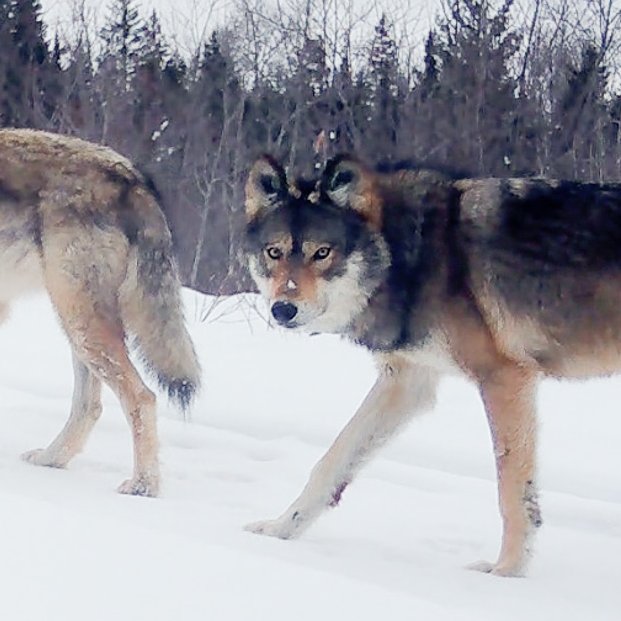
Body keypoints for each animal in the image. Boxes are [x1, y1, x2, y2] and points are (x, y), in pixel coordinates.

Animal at [0, 128, 199, 496]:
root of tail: (132, 177)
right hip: (78, 327)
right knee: (90, 405)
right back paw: (50, 459)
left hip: (80, 322)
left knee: (142, 397)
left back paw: (143, 486)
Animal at [243, 151, 621, 576]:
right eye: (274, 252)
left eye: (322, 253)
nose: (283, 308)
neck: (413, 256)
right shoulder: (407, 382)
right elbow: (331, 463)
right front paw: (278, 530)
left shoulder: (504, 378)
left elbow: (511, 491)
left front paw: (505, 572)